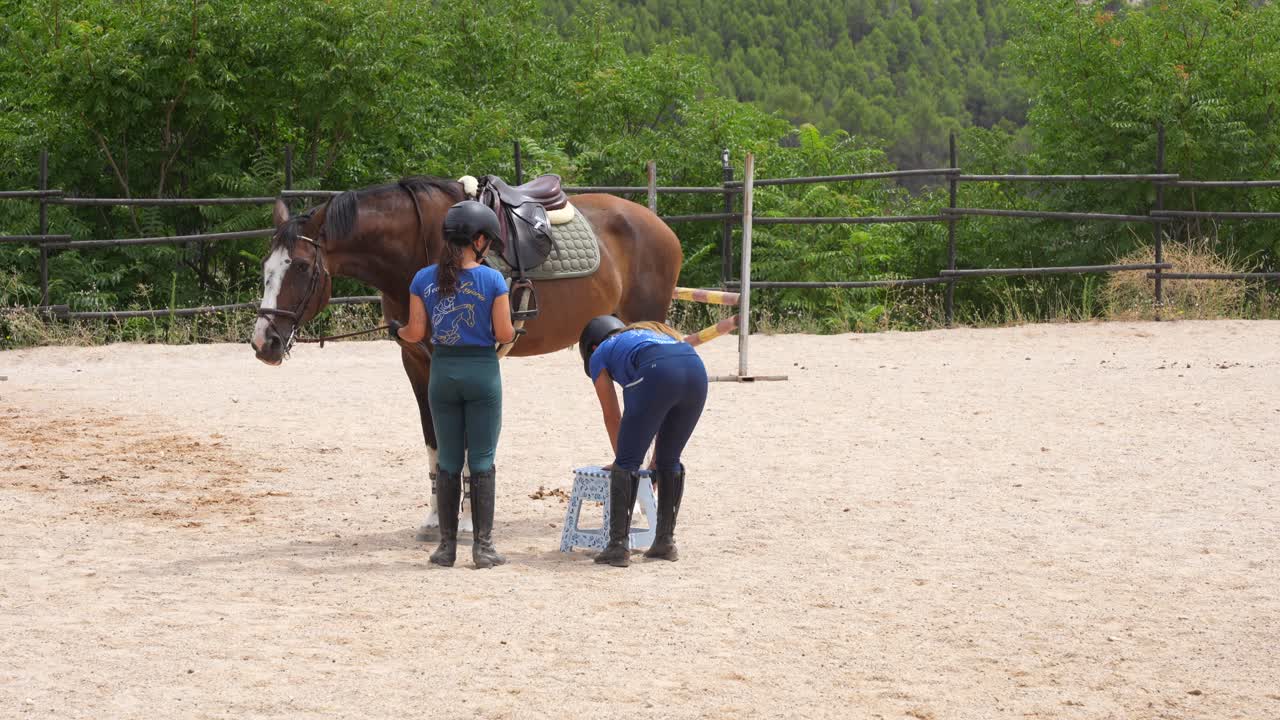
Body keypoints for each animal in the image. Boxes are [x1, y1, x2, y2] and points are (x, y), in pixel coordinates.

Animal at [249, 176, 683, 537]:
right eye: (265, 266)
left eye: (301, 266)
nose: (264, 342)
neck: (423, 248)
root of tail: (656, 224)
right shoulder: (417, 362)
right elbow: (435, 441)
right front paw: (435, 518)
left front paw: (471, 518)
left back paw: (639, 505)